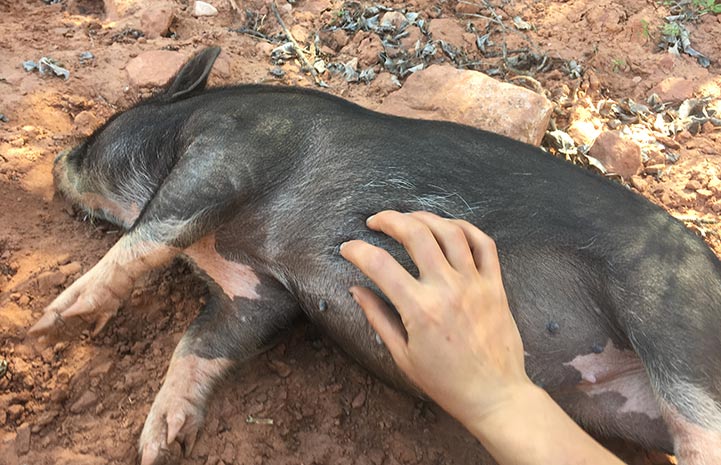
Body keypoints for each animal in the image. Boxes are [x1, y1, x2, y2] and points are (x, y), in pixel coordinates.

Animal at [31, 46, 720, 460]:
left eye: (96, 135)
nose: (55, 158)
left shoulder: (231, 152)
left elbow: (148, 233)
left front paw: (51, 322)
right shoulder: (255, 290)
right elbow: (200, 342)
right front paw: (159, 445)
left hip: (675, 329)